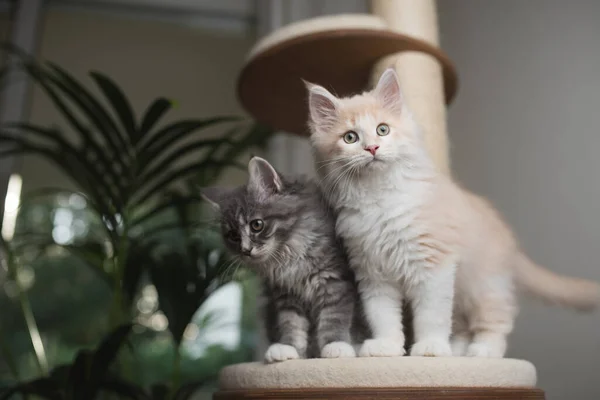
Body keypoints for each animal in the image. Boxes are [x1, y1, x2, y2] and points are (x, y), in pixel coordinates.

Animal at [200, 158, 360, 364]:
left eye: (257, 225)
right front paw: (290, 348)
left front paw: (336, 346)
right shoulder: (285, 294)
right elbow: (291, 323)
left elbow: (333, 317)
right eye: (233, 236)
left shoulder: (335, 281)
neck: (288, 256)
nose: (246, 250)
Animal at [308, 67, 596, 358]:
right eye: (350, 137)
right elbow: (382, 316)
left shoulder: (434, 266)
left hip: (484, 286)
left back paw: (483, 351)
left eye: (382, 129)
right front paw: (386, 346)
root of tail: (509, 240)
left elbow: (431, 315)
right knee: (464, 325)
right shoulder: (373, 275)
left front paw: (430, 348)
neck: (379, 199)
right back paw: (457, 349)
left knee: (497, 320)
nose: (372, 148)